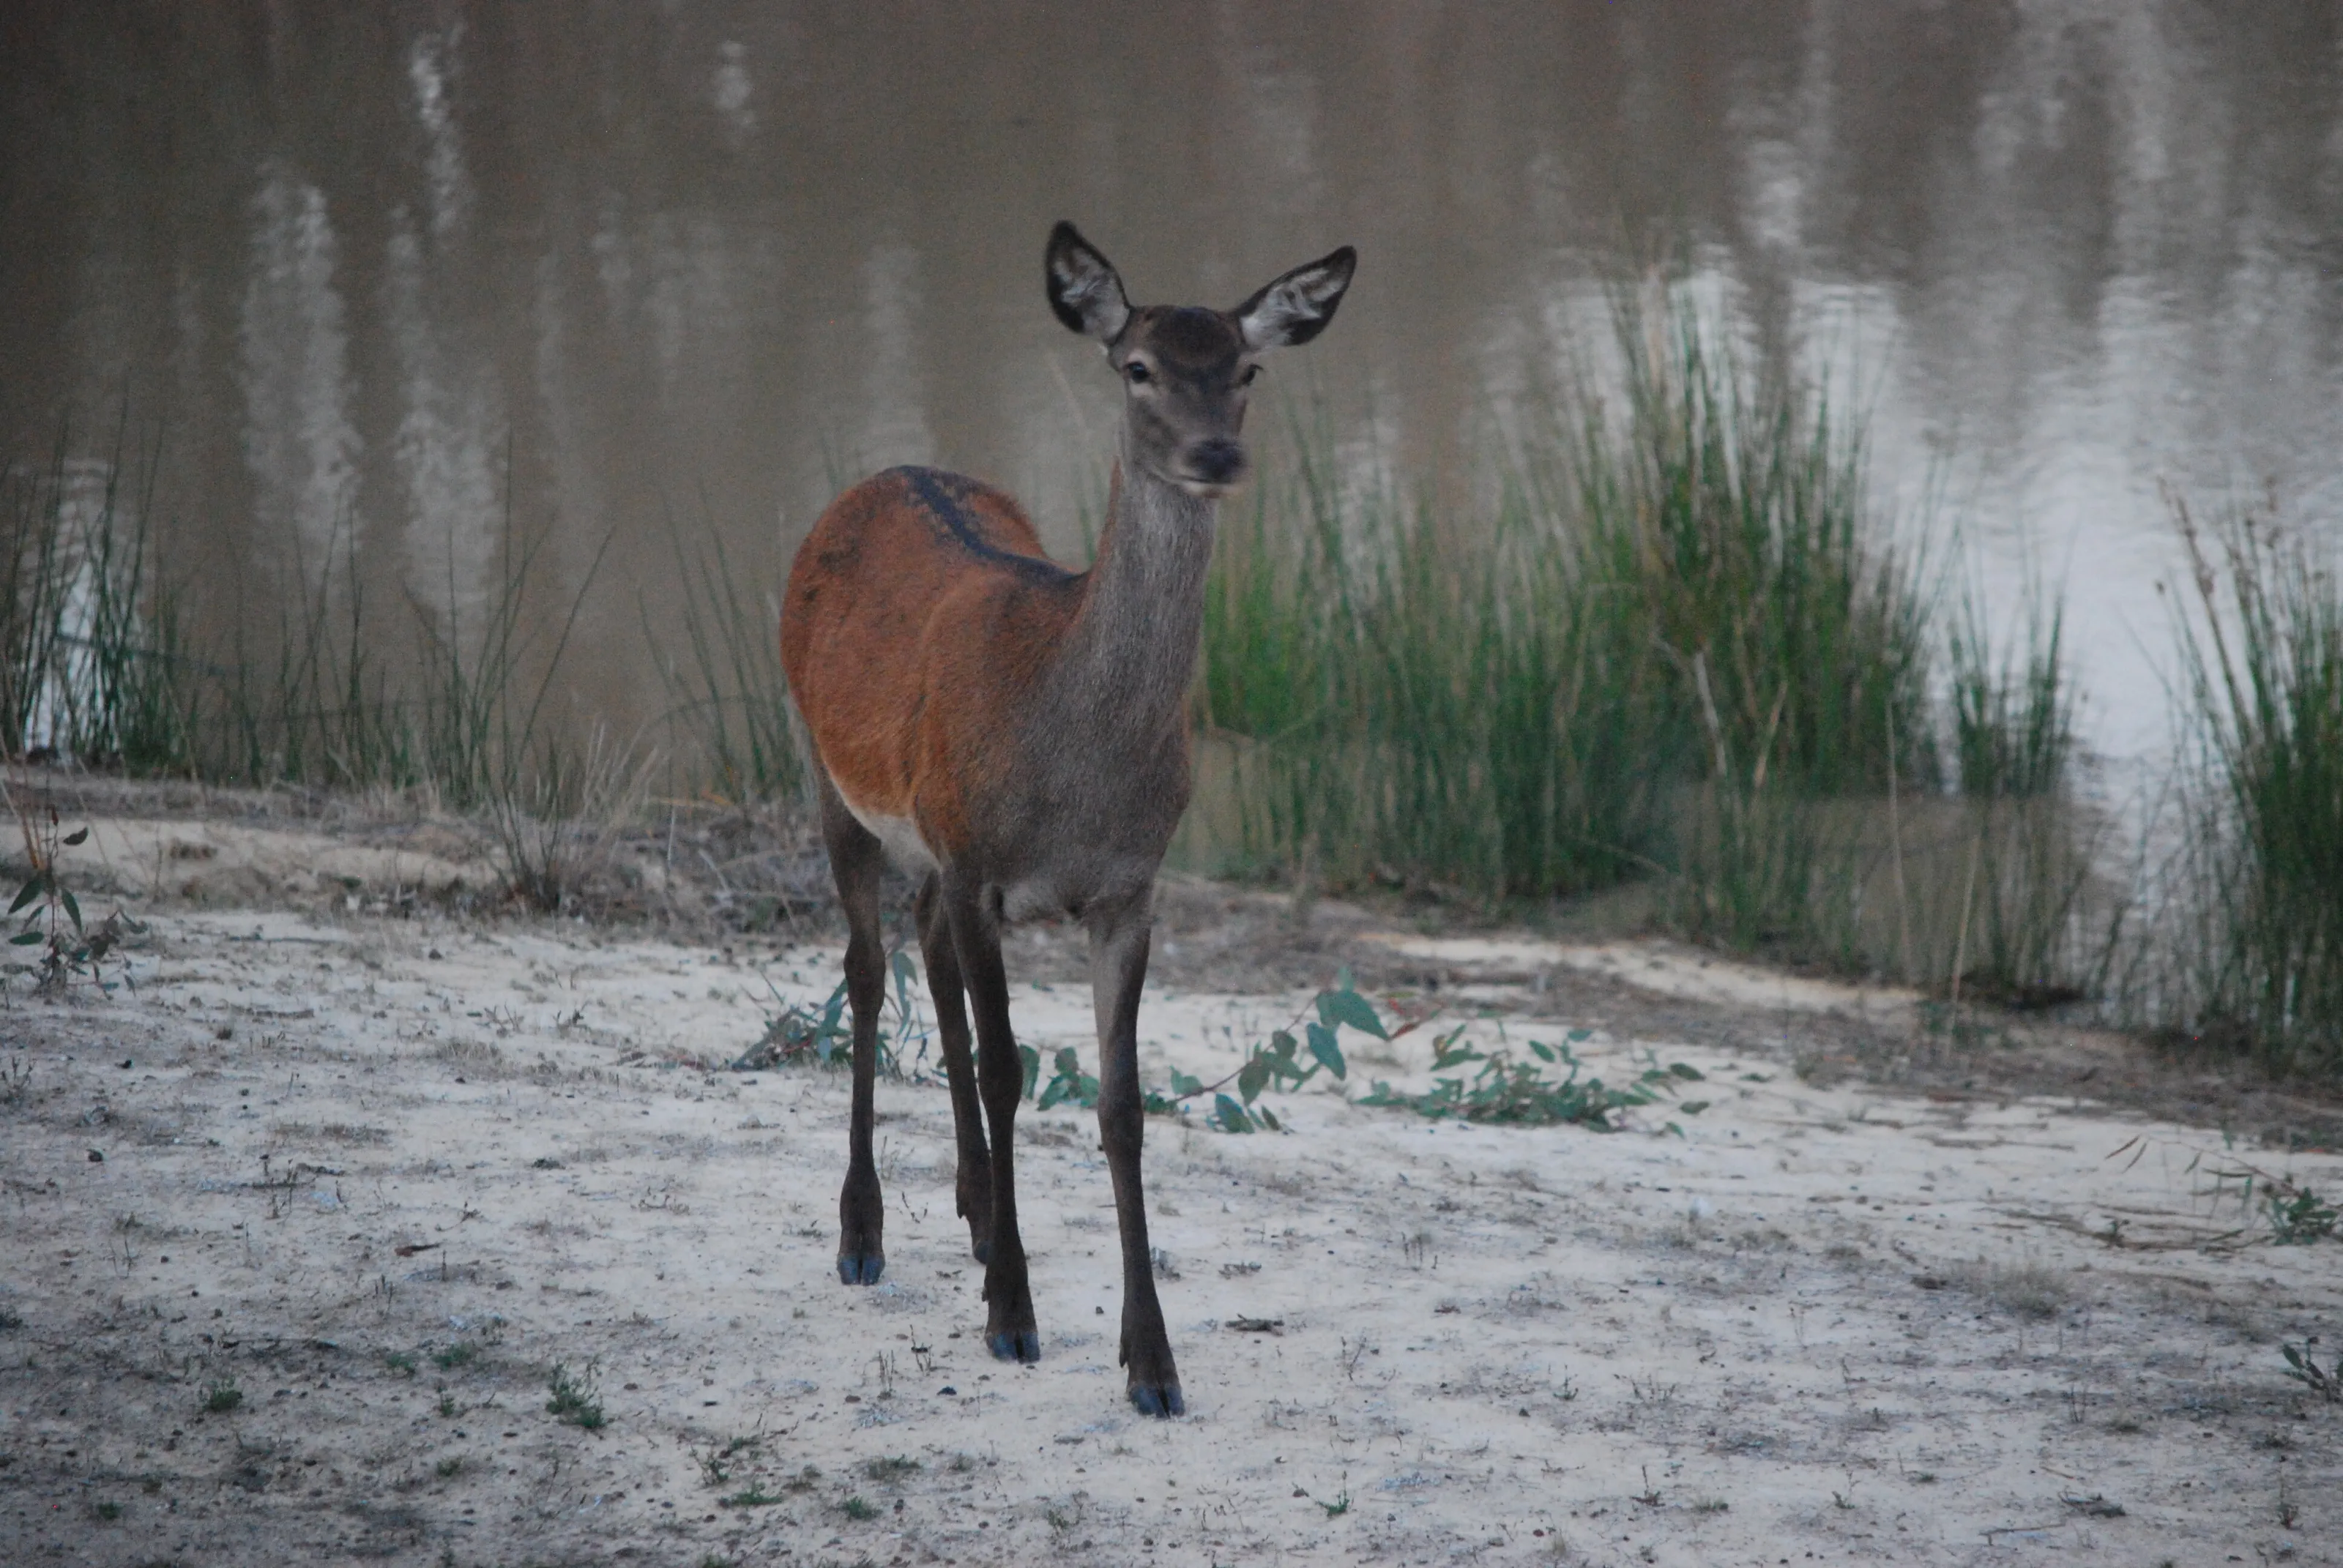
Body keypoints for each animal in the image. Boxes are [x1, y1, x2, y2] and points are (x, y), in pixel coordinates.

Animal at [778, 223, 1355, 1416]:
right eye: (1136, 366)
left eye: (1246, 369)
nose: (1215, 456)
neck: (1073, 773)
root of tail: (876, 475)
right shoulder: (980, 861)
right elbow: (1010, 1068)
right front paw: (1013, 1314)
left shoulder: (1128, 886)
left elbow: (1121, 1103)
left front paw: (1153, 1363)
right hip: (826, 770)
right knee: (868, 968)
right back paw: (863, 1234)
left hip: (926, 835)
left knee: (927, 955)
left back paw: (974, 1206)